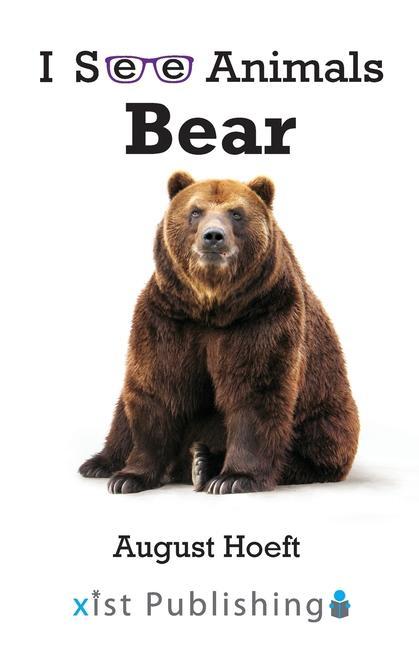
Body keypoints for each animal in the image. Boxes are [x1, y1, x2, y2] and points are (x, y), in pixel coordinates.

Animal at [79, 171, 359, 495]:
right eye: (195, 211)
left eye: (236, 213)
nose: (213, 236)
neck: (212, 306)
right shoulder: (168, 318)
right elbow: (157, 388)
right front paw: (129, 477)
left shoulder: (262, 317)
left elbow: (255, 392)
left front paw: (234, 477)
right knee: (122, 413)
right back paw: (100, 463)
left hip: (327, 413)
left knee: (315, 444)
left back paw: (204, 462)